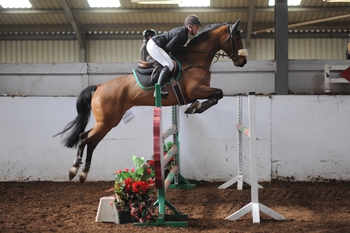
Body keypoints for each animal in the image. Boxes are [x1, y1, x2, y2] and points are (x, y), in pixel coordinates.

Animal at [54, 19, 247, 184]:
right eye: (237, 38)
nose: (243, 61)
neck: (196, 59)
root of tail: (100, 86)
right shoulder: (195, 90)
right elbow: (218, 94)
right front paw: (197, 107)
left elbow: (218, 95)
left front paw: (195, 107)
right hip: (106, 121)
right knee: (84, 138)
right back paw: (74, 170)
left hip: (108, 122)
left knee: (91, 142)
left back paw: (83, 173)